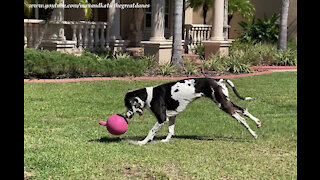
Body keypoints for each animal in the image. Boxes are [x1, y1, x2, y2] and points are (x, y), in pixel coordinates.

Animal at [124, 77, 262, 145]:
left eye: (128, 105)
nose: (125, 116)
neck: (150, 95)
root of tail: (218, 80)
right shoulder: (172, 116)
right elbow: (171, 131)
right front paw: (167, 140)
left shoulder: (161, 119)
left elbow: (151, 132)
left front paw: (143, 142)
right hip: (226, 102)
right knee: (244, 110)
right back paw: (257, 123)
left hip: (223, 105)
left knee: (242, 119)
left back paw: (254, 134)